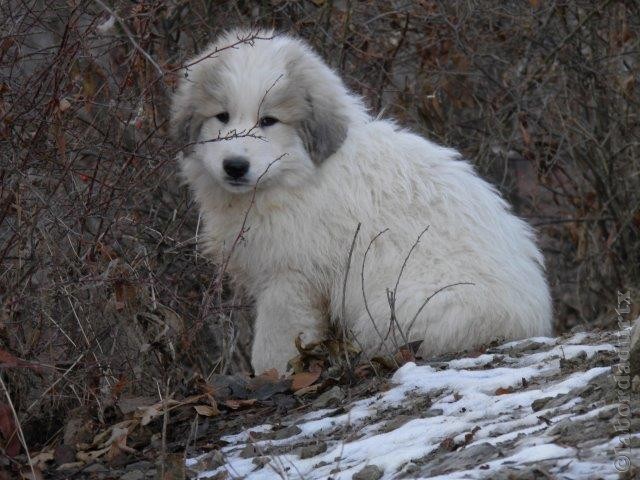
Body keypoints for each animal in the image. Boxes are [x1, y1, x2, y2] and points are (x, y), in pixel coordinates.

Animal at [172, 29, 552, 376]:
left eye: (268, 121)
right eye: (222, 116)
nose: (235, 166)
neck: (297, 174)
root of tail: (531, 321)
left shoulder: (290, 276)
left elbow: (274, 341)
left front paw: (271, 375)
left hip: (399, 306)